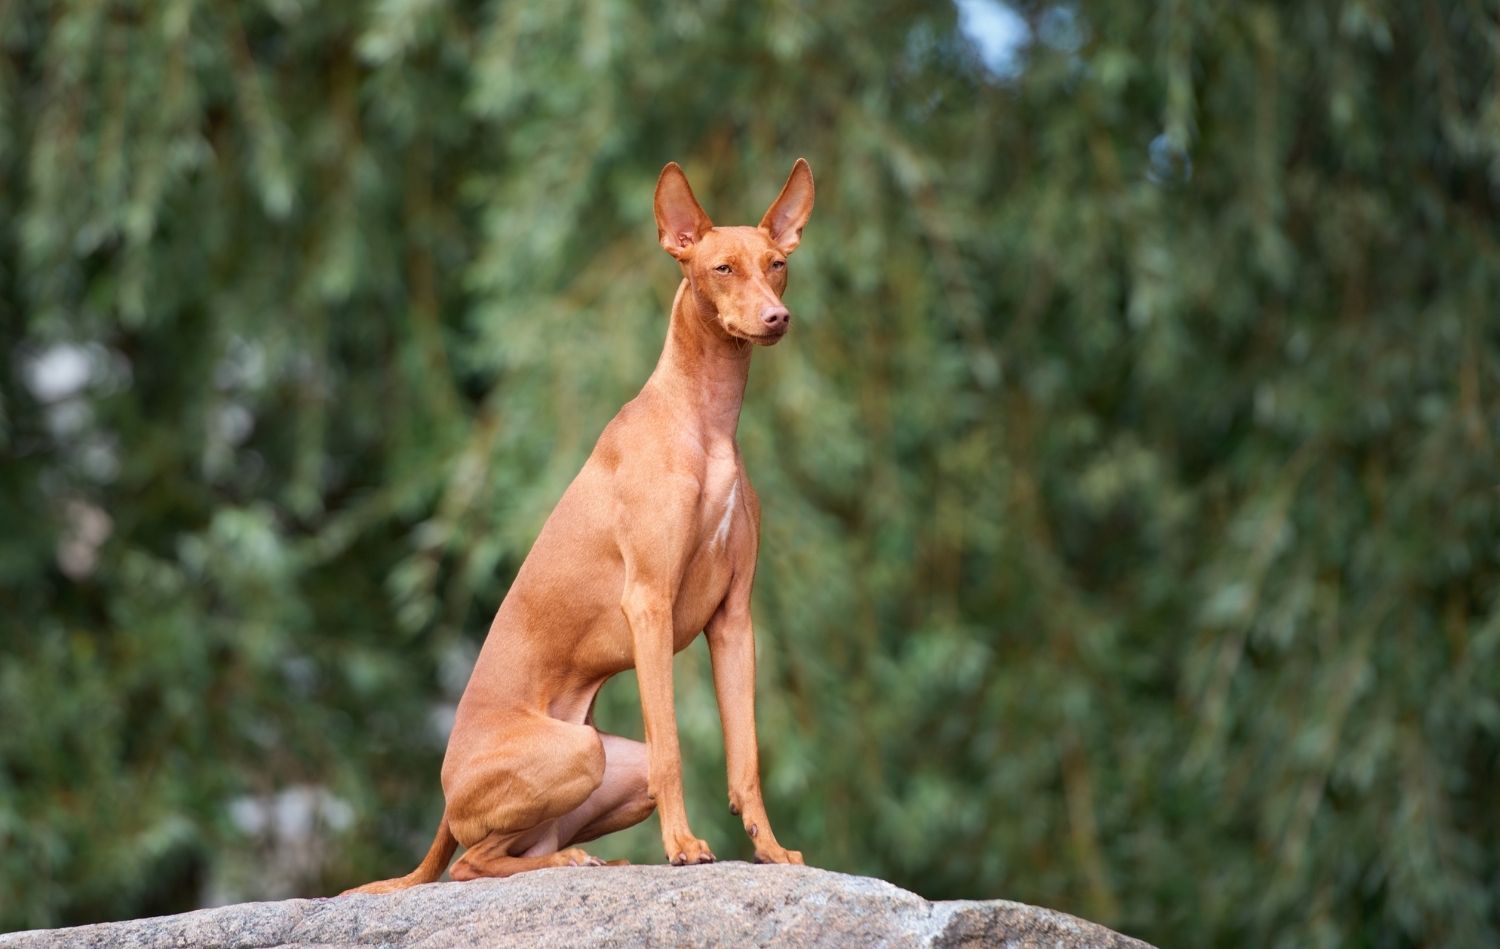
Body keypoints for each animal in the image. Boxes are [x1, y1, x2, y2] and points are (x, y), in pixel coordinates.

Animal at [345, 158, 816, 893]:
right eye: (721, 268)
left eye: (777, 264)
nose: (776, 317)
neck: (704, 424)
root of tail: (446, 804)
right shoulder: (648, 603)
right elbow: (673, 747)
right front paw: (683, 846)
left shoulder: (735, 619)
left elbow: (746, 760)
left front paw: (770, 850)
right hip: (578, 749)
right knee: (470, 864)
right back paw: (567, 859)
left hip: (605, 761)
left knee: (516, 848)